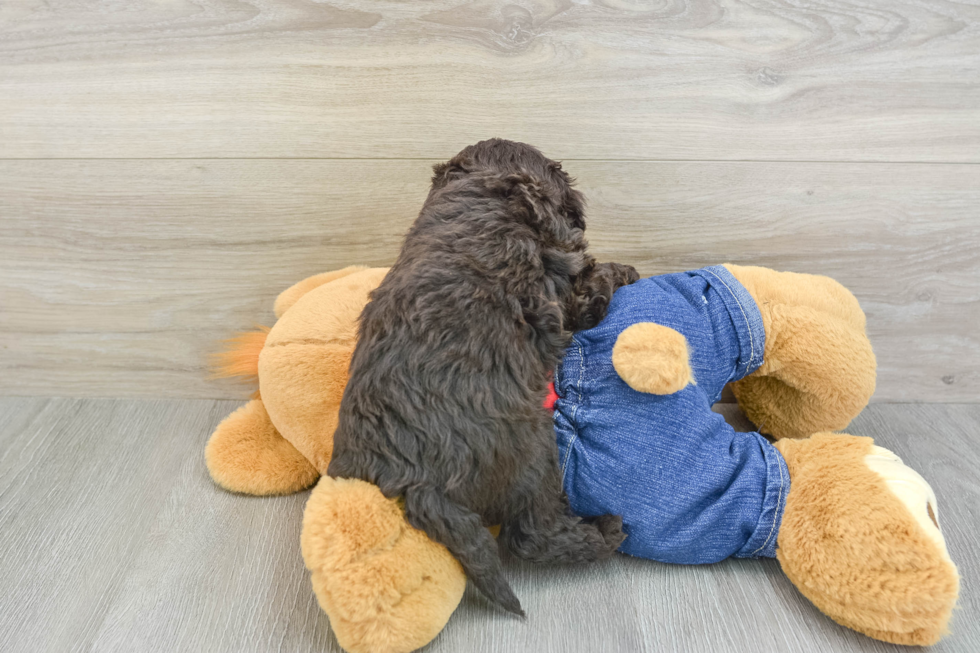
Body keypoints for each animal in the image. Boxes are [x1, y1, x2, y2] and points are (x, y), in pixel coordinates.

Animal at [330, 140, 636, 612]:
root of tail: (421, 482)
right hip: (533, 452)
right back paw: (605, 532)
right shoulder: (567, 288)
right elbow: (591, 283)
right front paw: (624, 271)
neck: (485, 190)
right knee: (530, 534)